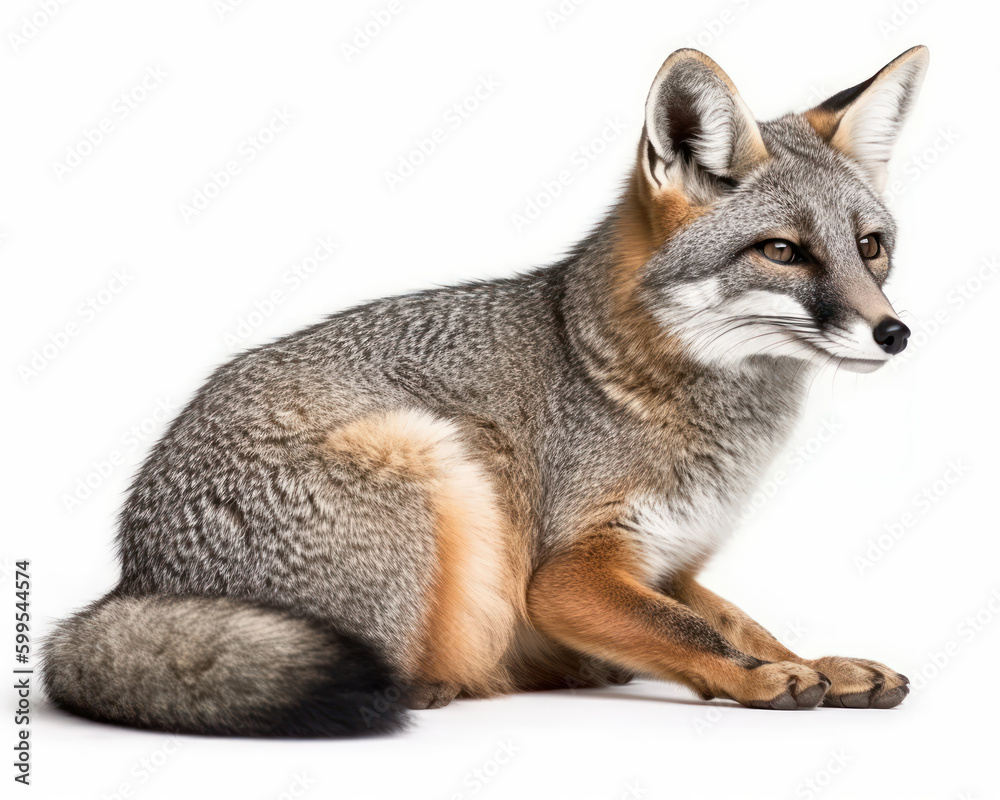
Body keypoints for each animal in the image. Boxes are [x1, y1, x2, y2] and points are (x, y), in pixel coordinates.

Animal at [43, 45, 929, 736]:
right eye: (782, 252)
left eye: (871, 247)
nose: (894, 333)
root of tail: (133, 581)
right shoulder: (570, 573)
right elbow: (694, 634)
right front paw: (759, 679)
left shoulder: (669, 561)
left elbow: (743, 623)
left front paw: (821, 662)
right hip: (437, 460)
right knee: (404, 675)